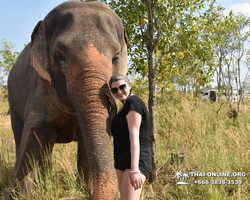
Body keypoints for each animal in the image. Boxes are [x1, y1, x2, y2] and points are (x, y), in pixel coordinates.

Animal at [5, 0, 127, 199]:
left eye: (115, 57)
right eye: (59, 57)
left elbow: (87, 146)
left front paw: (84, 190)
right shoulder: (39, 85)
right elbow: (32, 140)